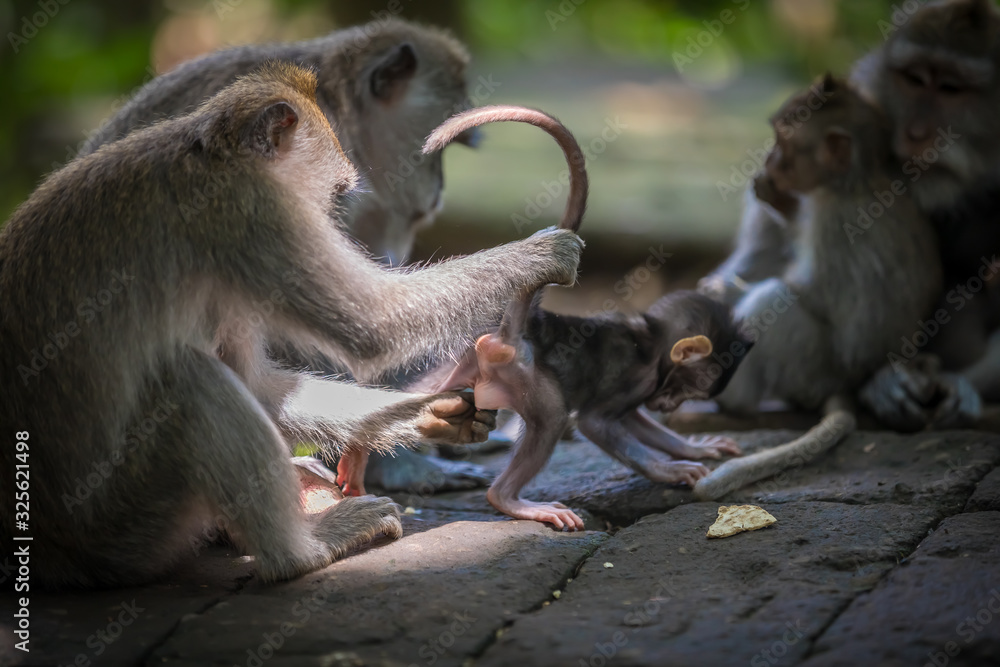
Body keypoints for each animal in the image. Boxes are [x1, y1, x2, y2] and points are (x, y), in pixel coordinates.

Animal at [693, 75, 943, 500]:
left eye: (784, 142)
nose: (768, 161)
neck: (850, 180)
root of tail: (846, 384)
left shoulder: (834, 217)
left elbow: (820, 296)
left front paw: (721, 293)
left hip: (810, 367)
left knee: (773, 299)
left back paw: (732, 398)